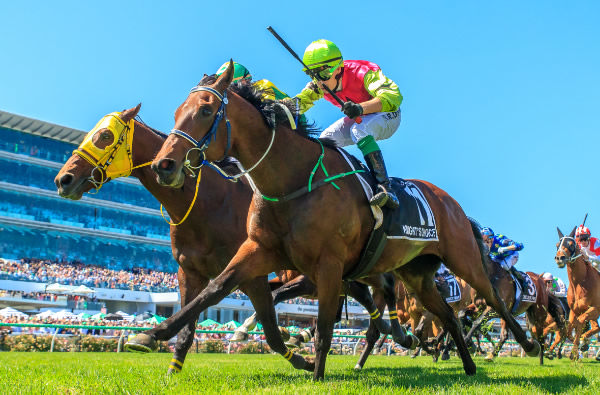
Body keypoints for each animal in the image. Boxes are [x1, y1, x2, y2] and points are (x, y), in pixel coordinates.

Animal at [52, 106, 398, 372]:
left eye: (104, 137)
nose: (63, 179)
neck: (206, 200)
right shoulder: (189, 271)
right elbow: (189, 326)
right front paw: (170, 371)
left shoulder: (252, 273)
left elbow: (271, 332)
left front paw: (302, 360)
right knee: (356, 290)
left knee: (367, 288)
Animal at [131, 65, 540, 380]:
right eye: (176, 112)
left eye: (204, 111)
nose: (163, 165)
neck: (291, 182)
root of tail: (450, 201)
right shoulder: (259, 250)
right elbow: (216, 289)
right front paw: (153, 334)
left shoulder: (327, 266)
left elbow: (325, 326)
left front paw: (316, 374)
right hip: (416, 275)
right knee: (449, 318)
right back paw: (468, 368)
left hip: (463, 261)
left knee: (494, 304)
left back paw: (529, 344)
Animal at [552, 229, 600, 362]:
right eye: (557, 245)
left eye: (571, 244)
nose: (559, 258)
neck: (580, 282)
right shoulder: (574, 310)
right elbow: (569, 330)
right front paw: (580, 346)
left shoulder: (595, 309)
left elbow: (580, 322)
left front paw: (575, 351)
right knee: (596, 327)